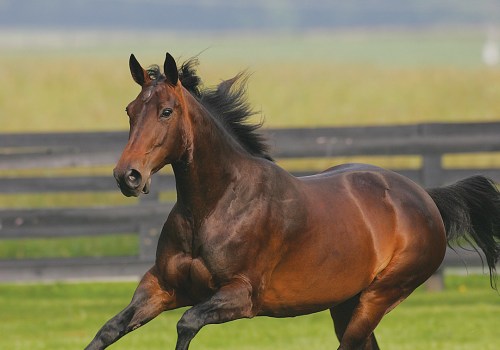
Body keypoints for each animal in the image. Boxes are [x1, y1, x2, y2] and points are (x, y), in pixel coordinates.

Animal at [86, 52, 500, 350]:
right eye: (130, 110)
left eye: (166, 111)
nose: (127, 176)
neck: (215, 206)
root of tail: (424, 197)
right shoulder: (162, 286)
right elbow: (109, 329)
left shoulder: (240, 297)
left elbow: (186, 324)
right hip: (345, 303)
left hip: (379, 297)